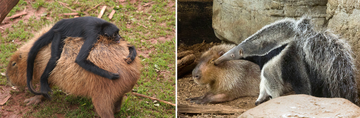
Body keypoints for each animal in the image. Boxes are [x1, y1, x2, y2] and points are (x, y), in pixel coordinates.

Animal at [6, 25, 142, 117]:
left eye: (13, 64)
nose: (7, 78)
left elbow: (44, 87)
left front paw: (32, 100)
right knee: (117, 106)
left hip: (102, 96)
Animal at [212, 16, 358, 105]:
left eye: (232, 55)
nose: (215, 62)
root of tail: (302, 37)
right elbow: (262, 80)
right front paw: (259, 99)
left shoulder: (277, 55)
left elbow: (269, 78)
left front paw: (274, 98)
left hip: (295, 57)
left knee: (301, 79)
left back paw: (305, 95)